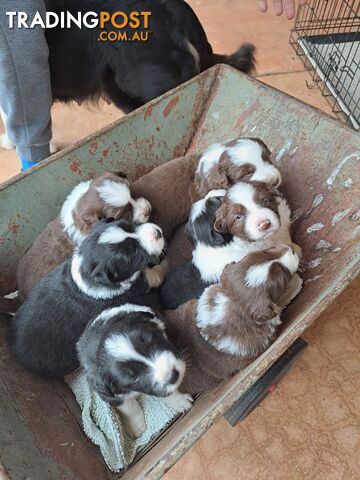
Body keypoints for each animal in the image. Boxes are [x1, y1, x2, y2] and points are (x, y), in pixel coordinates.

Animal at [6, 218, 167, 378]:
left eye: (127, 224)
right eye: (132, 253)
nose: (158, 232)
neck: (87, 274)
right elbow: (153, 276)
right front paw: (162, 267)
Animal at [77, 306, 193, 436]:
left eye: (152, 341)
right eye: (135, 378)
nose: (174, 375)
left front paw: (181, 402)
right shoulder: (112, 395)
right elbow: (129, 408)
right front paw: (137, 428)